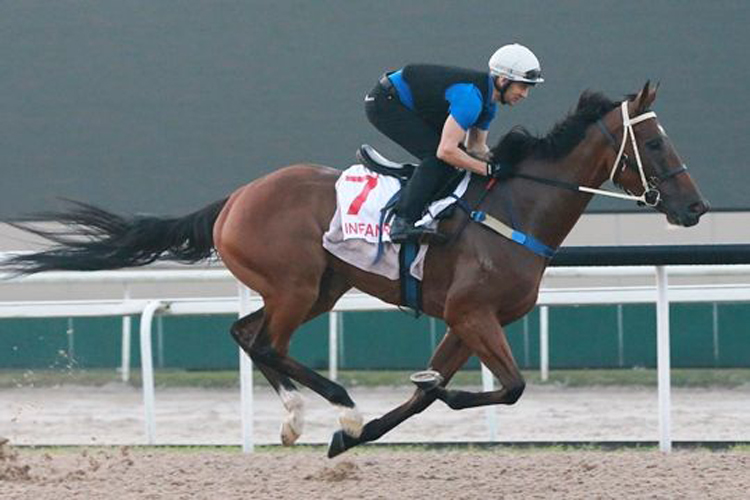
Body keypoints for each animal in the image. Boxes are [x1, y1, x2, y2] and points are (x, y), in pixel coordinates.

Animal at [4, 82, 712, 458]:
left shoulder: (465, 321)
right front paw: (380, 416)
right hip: (295, 285)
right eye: (654, 143)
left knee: (248, 336)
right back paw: (336, 407)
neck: (517, 208)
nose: (696, 208)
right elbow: (506, 388)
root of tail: (236, 196)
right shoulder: (473, 313)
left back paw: (301, 417)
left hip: (322, 286)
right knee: (267, 342)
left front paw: (364, 434)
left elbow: (430, 393)